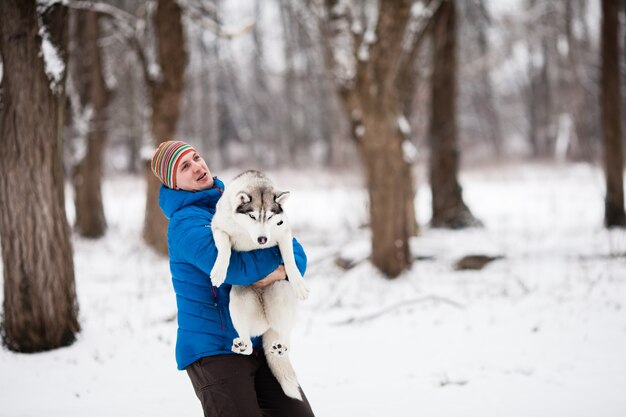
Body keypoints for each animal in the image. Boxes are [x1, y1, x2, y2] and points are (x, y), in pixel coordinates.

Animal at [210, 170, 308, 400]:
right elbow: (224, 247)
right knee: (247, 342)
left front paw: (299, 283)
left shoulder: (284, 233)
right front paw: (219, 271)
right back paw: (242, 344)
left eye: (270, 217)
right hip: (237, 300)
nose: (263, 239)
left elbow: (290, 258)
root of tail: (267, 325)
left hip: (280, 291)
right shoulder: (218, 227)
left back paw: (281, 345)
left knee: (286, 336)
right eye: (252, 216)